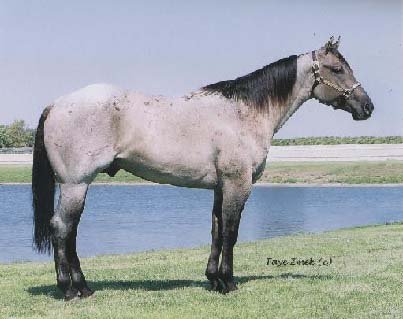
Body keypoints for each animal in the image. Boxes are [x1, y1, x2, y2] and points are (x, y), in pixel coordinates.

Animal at [32, 37, 376, 300]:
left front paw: (213, 279)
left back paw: (84, 287)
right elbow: (231, 232)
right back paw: (70, 289)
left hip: (78, 186)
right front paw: (228, 282)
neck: (244, 112)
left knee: (70, 231)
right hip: (76, 184)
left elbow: (216, 230)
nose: (367, 106)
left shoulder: (221, 187)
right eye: (337, 69)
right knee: (62, 229)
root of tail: (56, 104)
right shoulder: (238, 184)